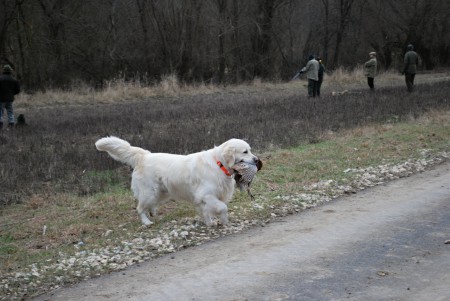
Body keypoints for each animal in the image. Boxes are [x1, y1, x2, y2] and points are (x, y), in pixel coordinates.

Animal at [95, 136, 260, 225]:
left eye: (250, 150)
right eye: (245, 152)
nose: (257, 160)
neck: (218, 163)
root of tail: (144, 155)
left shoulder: (204, 198)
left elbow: (207, 212)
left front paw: (209, 223)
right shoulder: (206, 195)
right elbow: (222, 207)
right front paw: (224, 221)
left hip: (162, 192)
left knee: (150, 205)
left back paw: (153, 212)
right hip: (150, 191)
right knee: (140, 207)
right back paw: (146, 221)